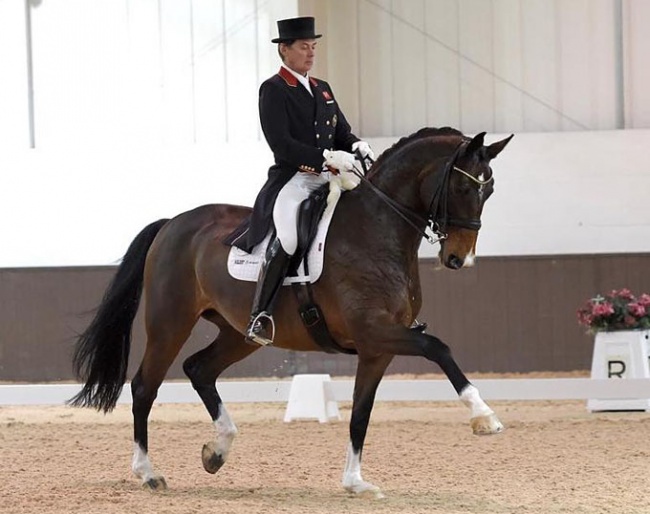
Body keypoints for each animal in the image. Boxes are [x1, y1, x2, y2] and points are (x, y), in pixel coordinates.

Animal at [69, 125, 512, 496]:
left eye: (488, 191)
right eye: (463, 185)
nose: (458, 258)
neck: (376, 229)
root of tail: (172, 223)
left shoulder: (377, 349)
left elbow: (361, 413)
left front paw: (355, 482)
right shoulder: (376, 330)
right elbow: (439, 348)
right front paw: (484, 416)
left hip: (240, 334)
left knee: (200, 369)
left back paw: (217, 450)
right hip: (169, 323)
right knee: (146, 386)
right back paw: (148, 472)